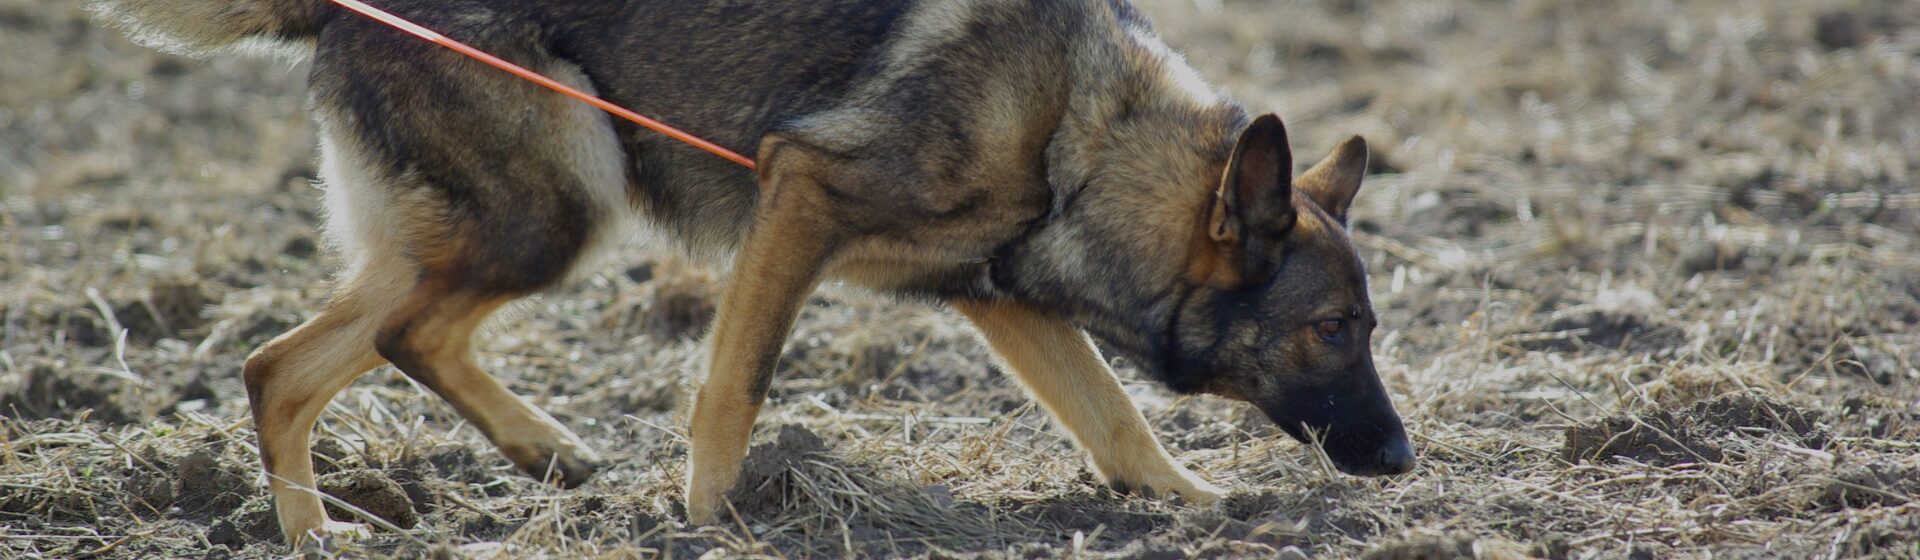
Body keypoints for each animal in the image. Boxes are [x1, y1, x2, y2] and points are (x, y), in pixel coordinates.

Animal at [90, 0, 1413, 544]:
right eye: (1333, 327)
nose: (1406, 460)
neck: (1082, 141)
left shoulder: (994, 293)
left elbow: (1115, 419)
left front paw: (1192, 500)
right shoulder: (800, 197)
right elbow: (736, 377)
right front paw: (712, 517)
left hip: (495, 224)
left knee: (299, 361)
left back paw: (471, 478)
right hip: (556, 205)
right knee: (357, 347)